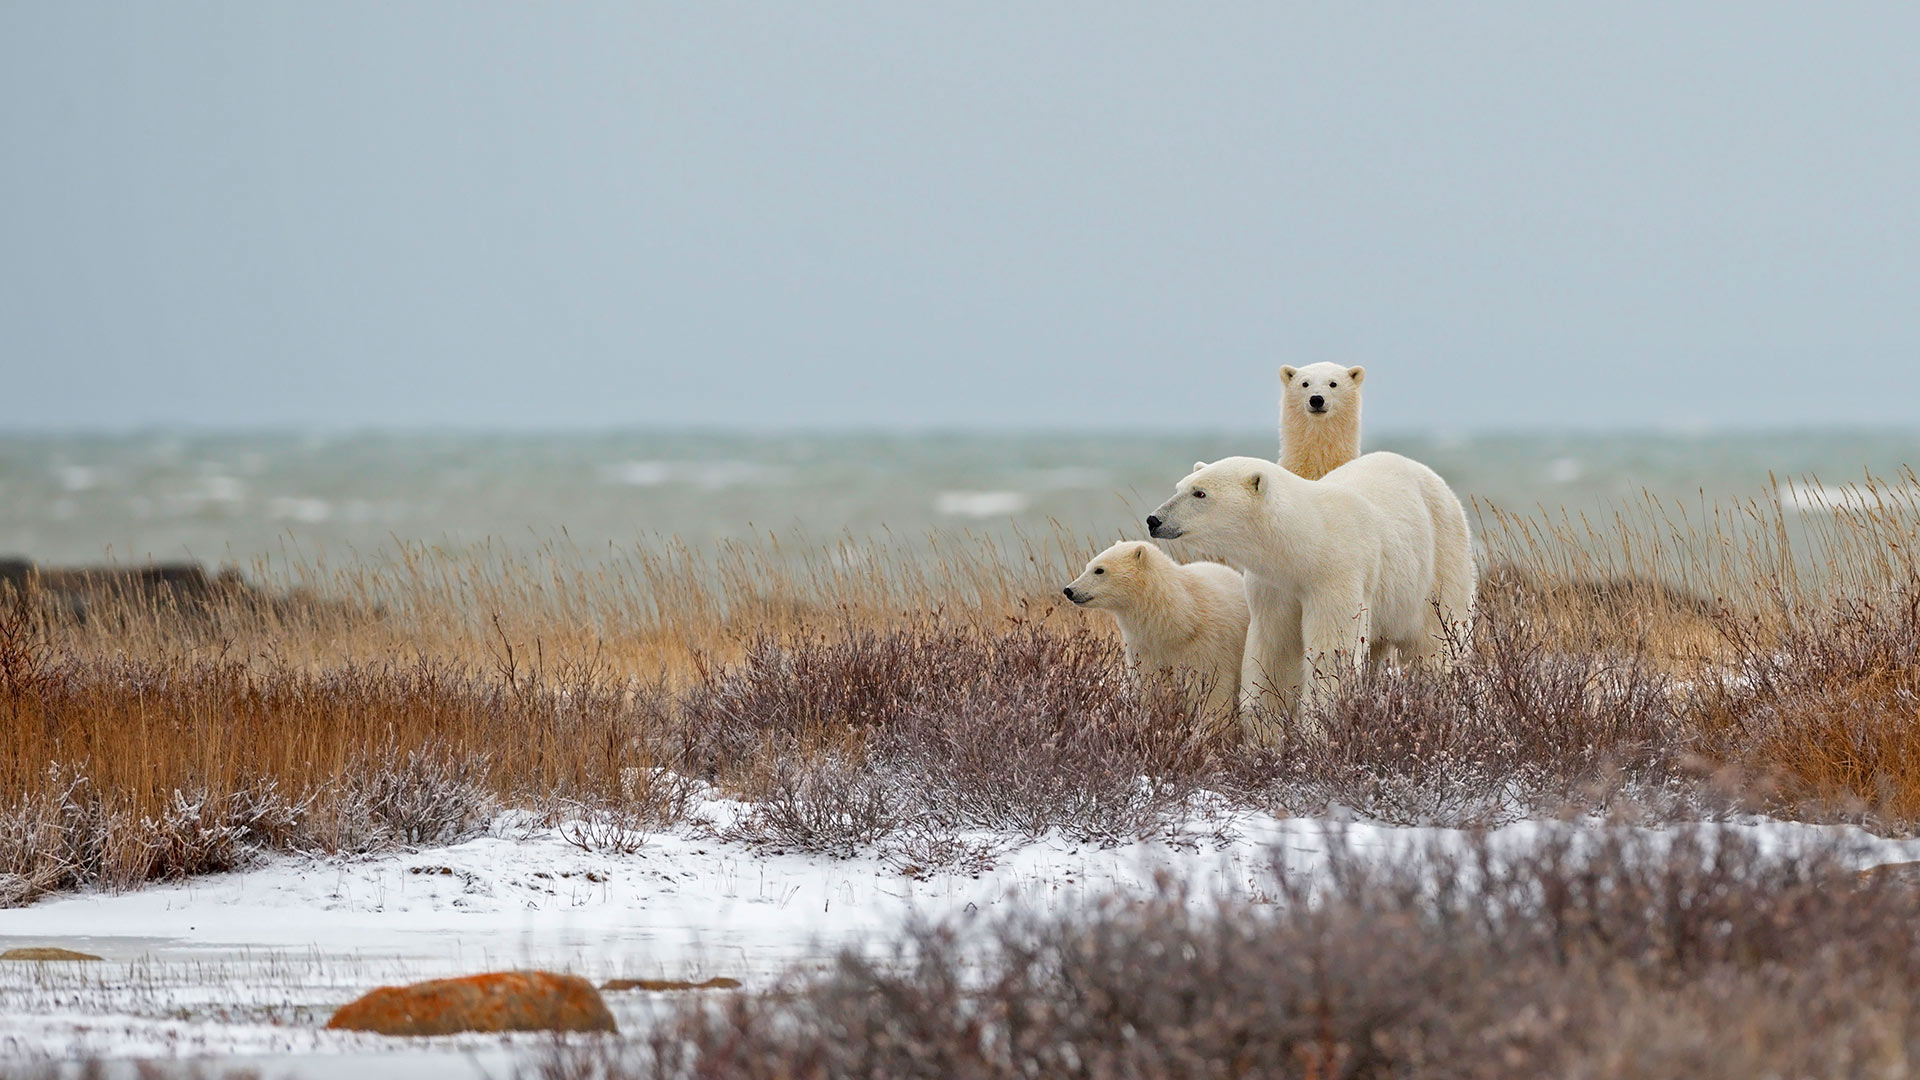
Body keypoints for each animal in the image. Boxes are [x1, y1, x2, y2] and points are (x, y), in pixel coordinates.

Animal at [1059, 538, 1251, 722]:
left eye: (1099, 570)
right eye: (1088, 566)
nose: (1069, 590)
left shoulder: (1206, 647)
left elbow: (1210, 692)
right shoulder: (1145, 647)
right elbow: (1151, 686)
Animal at [1144, 445, 1474, 730]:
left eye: (1200, 493)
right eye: (1180, 486)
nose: (1154, 519)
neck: (1311, 544)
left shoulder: (1336, 576)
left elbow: (1331, 651)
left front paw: (1318, 725)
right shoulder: (1274, 587)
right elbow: (1274, 650)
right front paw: (1263, 728)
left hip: (1440, 561)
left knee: (1436, 645)